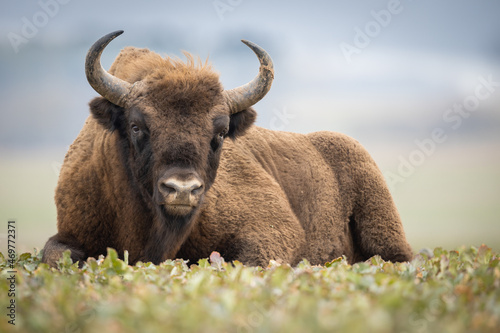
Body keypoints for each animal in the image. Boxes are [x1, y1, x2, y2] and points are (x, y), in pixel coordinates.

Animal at [42, 31, 410, 268]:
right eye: (136, 126)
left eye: (219, 132)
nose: (182, 190)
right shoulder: (72, 233)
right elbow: (54, 255)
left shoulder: (271, 232)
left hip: (384, 233)